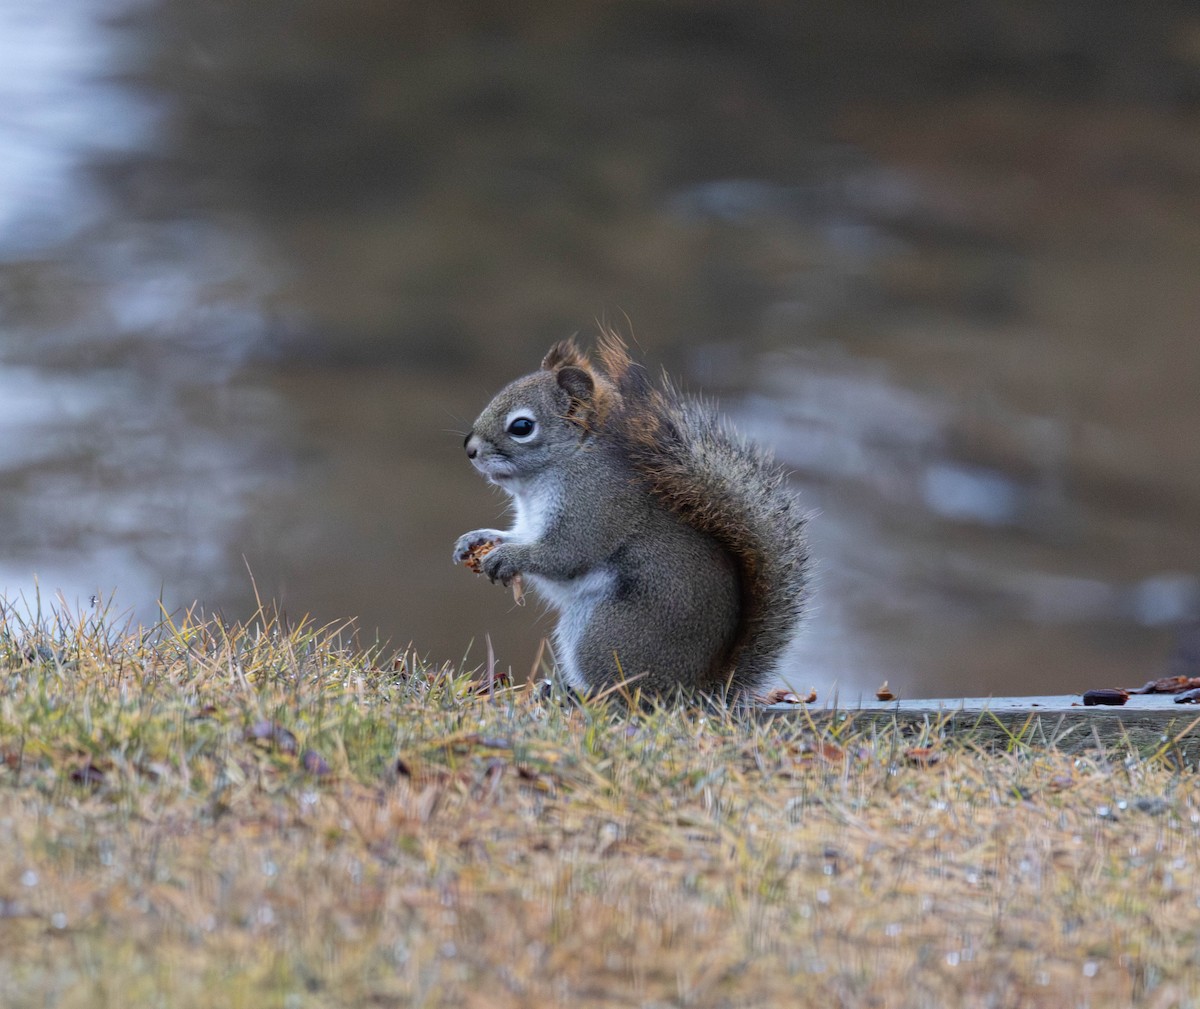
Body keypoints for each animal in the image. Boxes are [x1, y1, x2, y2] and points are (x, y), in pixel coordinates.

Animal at [452, 331, 809, 697]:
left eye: (522, 426)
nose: (470, 449)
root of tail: (694, 690)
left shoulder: (593, 506)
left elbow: (563, 555)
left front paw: (507, 558)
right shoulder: (530, 523)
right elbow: (517, 536)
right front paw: (476, 540)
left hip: (605, 632)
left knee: (623, 692)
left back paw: (576, 695)